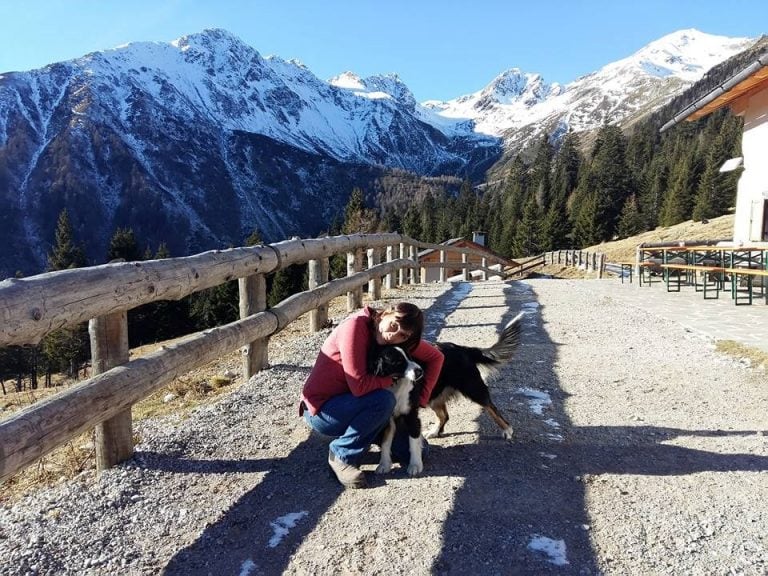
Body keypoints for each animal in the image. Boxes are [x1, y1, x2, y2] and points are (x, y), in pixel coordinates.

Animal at [368, 312, 524, 474]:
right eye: (398, 362)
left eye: (410, 357)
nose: (420, 371)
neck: (396, 383)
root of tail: (463, 349)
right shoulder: (388, 419)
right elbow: (386, 443)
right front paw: (384, 465)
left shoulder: (412, 415)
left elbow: (413, 443)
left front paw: (415, 465)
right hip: (435, 396)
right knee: (444, 415)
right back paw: (435, 431)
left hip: (473, 389)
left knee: (492, 408)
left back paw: (507, 429)